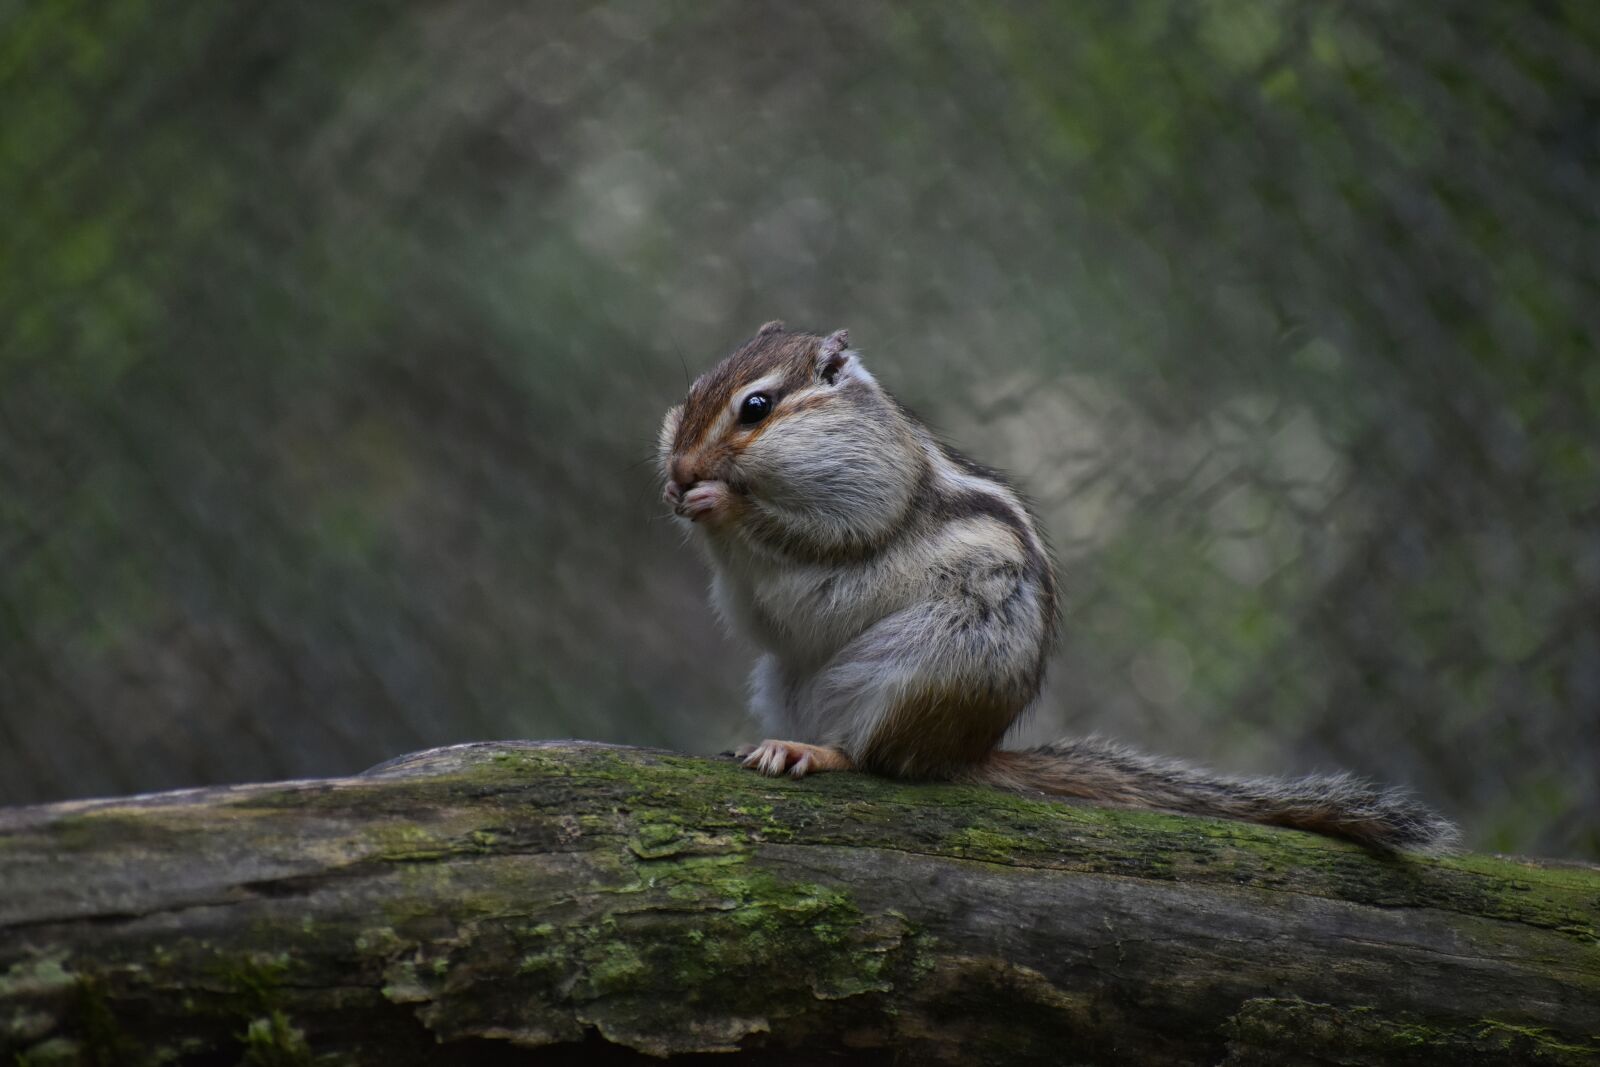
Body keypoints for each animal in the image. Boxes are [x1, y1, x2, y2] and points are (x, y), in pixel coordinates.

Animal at [659, 322, 1458, 853]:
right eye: (691, 392)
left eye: (756, 407)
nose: (679, 469)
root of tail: (966, 750)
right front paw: (677, 495)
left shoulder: (866, 501)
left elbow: (812, 538)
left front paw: (719, 502)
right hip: (783, 679)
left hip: (920, 670)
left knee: (877, 760)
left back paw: (816, 753)